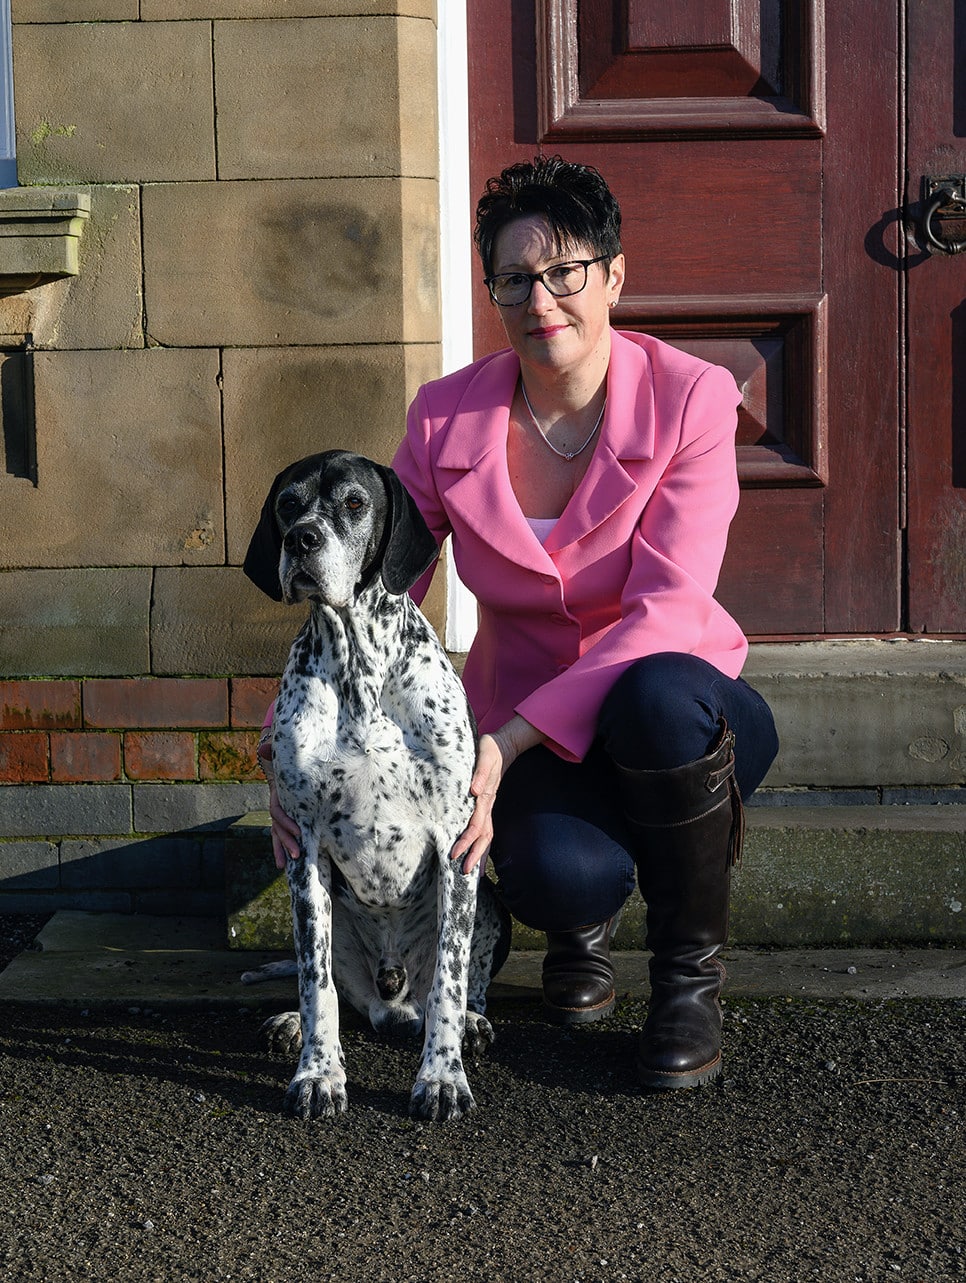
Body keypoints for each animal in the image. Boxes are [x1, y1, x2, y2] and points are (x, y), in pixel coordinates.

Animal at [241, 451, 508, 1123]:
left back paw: (471, 1023)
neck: (357, 669)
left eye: (356, 504)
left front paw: (441, 1078)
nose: (300, 539)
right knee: (333, 986)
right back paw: (291, 1023)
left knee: (460, 986)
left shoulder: (457, 844)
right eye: (287, 503)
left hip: (490, 898)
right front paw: (318, 1072)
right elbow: (316, 985)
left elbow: (449, 981)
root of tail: (390, 996)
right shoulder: (304, 849)